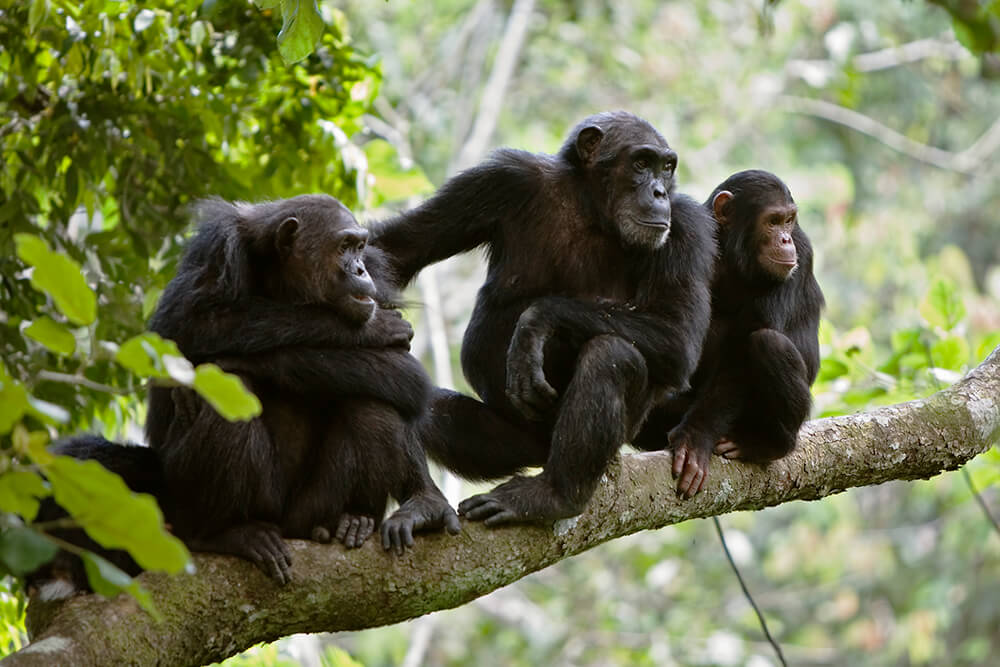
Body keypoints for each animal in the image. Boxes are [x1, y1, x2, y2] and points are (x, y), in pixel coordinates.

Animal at [144, 196, 458, 580]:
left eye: (360, 247)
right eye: (343, 246)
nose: (359, 270)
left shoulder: (378, 275)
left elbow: (403, 373)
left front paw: (425, 500)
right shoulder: (217, 249)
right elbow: (186, 326)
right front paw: (375, 328)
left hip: (308, 512)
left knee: (373, 401)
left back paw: (354, 519)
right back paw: (223, 534)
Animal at [370, 111, 720, 528]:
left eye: (666, 167)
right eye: (640, 163)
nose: (659, 192)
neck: (591, 208)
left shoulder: (687, 228)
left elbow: (677, 333)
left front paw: (536, 322)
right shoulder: (500, 179)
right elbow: (396, 249)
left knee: (612, 355)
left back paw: (553, 496)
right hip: (512, 442)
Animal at [636, 170, 824, 498]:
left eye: (789, 221)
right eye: (773, 221)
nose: (785, 239)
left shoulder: (801, 250)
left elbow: (742, 350)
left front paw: (695, 437)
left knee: (767, 343)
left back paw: (768, 444)